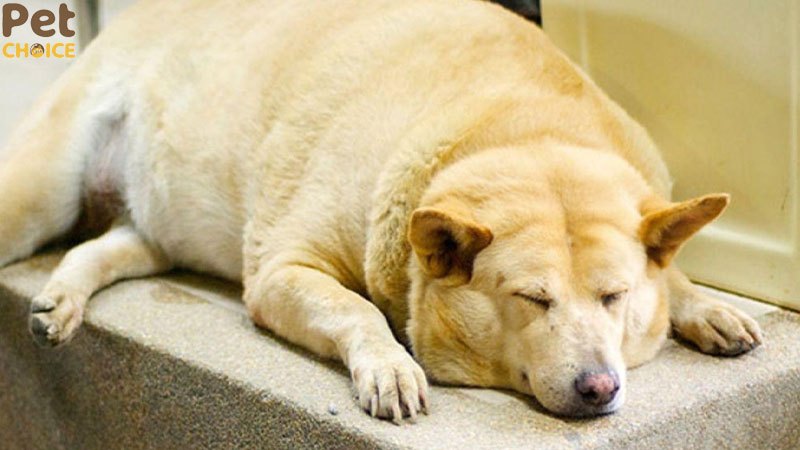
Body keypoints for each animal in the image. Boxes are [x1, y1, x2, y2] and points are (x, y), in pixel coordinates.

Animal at [0, 0, 762, 421]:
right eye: (532, 300)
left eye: (614, 297)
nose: (600, 387)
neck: (521, 127)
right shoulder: (281, 273)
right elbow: (358, 310)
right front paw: (391, 366)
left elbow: (675, 274)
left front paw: (704, 305)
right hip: (36, 193)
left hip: (152, 228)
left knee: (101, 247)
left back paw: (61, 302)